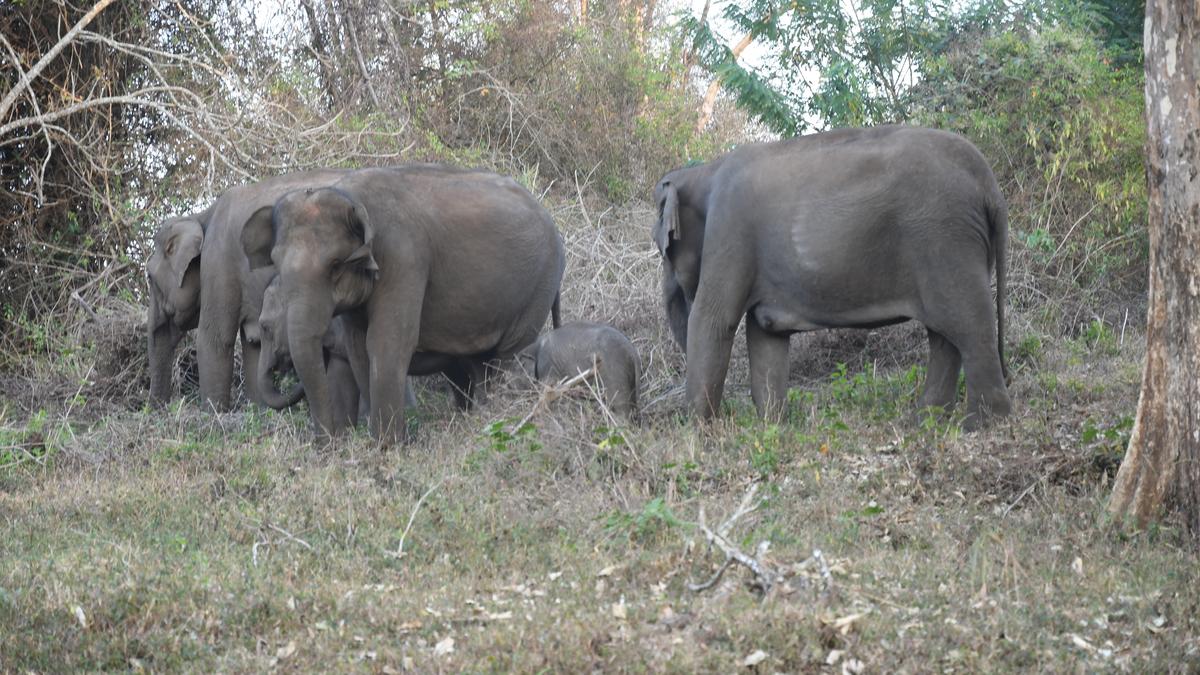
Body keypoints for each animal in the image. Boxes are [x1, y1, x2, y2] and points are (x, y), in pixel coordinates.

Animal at [145, 169, 349, 410]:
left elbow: (215, 340)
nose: (159, 408)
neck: (202, 216)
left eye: (149, 277)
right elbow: (254, 346)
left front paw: (213, 413)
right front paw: (259, 410)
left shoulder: (220, 262)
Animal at [241, 164, 566, 443]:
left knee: (509, 356)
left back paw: (499, 417)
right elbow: (359, 348)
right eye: (275, 263)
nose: (326, 444)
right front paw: (373, 442)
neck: (350, 195)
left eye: (335, 266)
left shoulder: (403, 257)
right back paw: (479, 418)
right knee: (479, 364)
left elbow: (388, 340)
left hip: (537, 287)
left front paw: (387, 445)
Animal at [653, 125, 1012, 429]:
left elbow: (714, 320)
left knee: (967, 323)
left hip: (945, 239)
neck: (703, 171)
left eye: (664, 248)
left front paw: (697, 434)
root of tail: (991, 185)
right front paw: (772, 428)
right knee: (944, 334)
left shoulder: (729, 227)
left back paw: (980, 425)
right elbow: (766, 334)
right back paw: (924, 422)